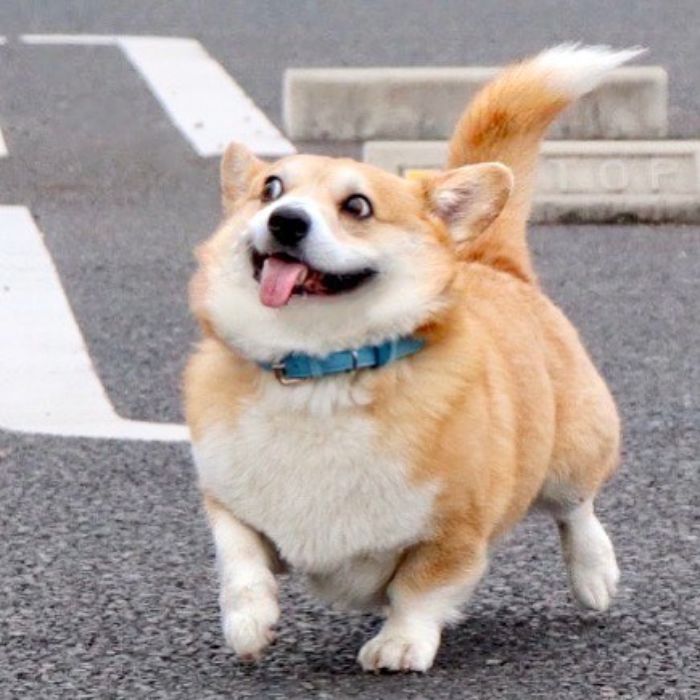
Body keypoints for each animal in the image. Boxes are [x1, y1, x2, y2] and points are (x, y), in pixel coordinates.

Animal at [182, 45, 640, 672]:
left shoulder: (453, 531)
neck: (320, 370)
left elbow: (420, 589)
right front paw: (249, 623)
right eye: (271, 189)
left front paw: (399, 644)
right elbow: (240, 561)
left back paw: (595, 576)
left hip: (571, 450)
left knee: (577, 509)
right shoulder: (231, 505)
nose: (286, 220)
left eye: (357, 206)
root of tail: (490, 261)